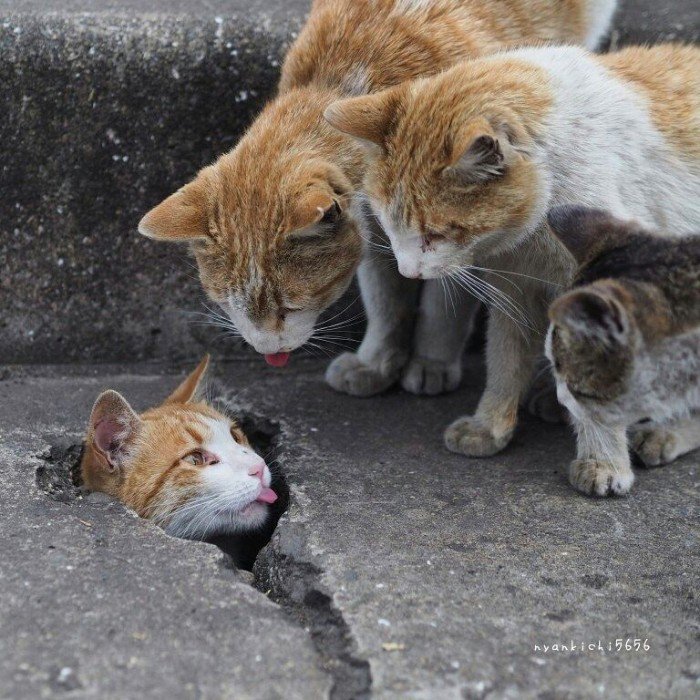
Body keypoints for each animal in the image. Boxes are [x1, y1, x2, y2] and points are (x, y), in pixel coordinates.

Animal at [138, 0, 616, 400]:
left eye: (290, 306)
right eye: (227, 306)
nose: (268, 352)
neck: (342, 82)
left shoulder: (461, 236)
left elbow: (444, 301)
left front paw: (430, 360)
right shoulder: (377, 233)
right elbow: (385, 299)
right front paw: (377, 361)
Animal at [324, 45, 700, 460]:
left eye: (436, 234)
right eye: (388, 227)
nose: (408, 272)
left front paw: (601, 461)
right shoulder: (516, 290)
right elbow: (506, 361)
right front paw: (490, 427)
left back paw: (665, 432)